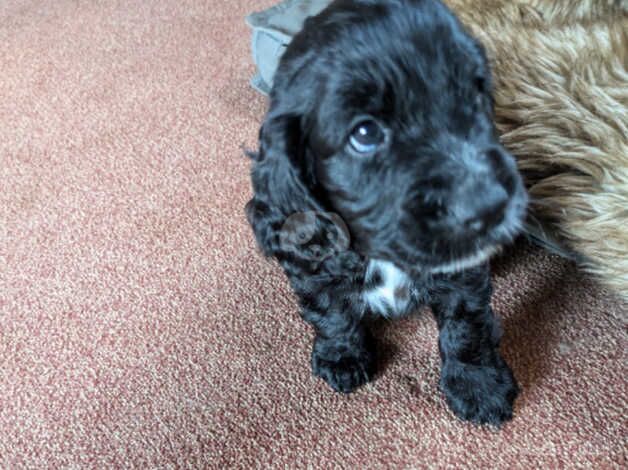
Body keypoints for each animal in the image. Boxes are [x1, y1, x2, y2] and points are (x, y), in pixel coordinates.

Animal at [247, 0, 528, 426]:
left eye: (475, 95)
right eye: (364, 134)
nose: (492, 206)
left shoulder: (462, 272)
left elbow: (466, 325)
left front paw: (478, 384)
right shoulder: (311, 263)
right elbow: (330, 310)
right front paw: (342, 356)